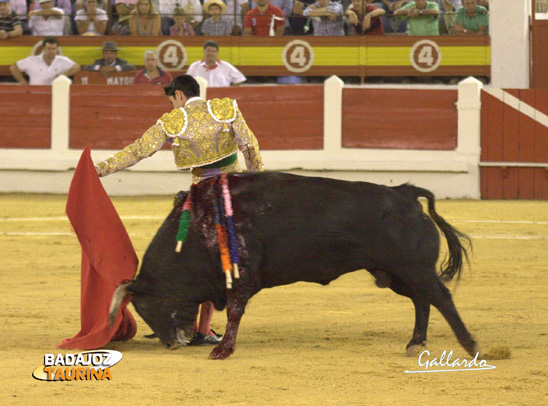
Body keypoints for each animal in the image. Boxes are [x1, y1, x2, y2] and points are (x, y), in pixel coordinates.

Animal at [108, 170, 480, 358]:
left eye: (144, 307)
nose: (172, 343)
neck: (199, 226)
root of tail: (405, 193)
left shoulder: (242, 276)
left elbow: (235, 312)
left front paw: (224, 350)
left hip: (414, 268)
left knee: (440, 297)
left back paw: (471, 345)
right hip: (395, 273)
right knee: (422, 300)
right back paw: (415, 342)